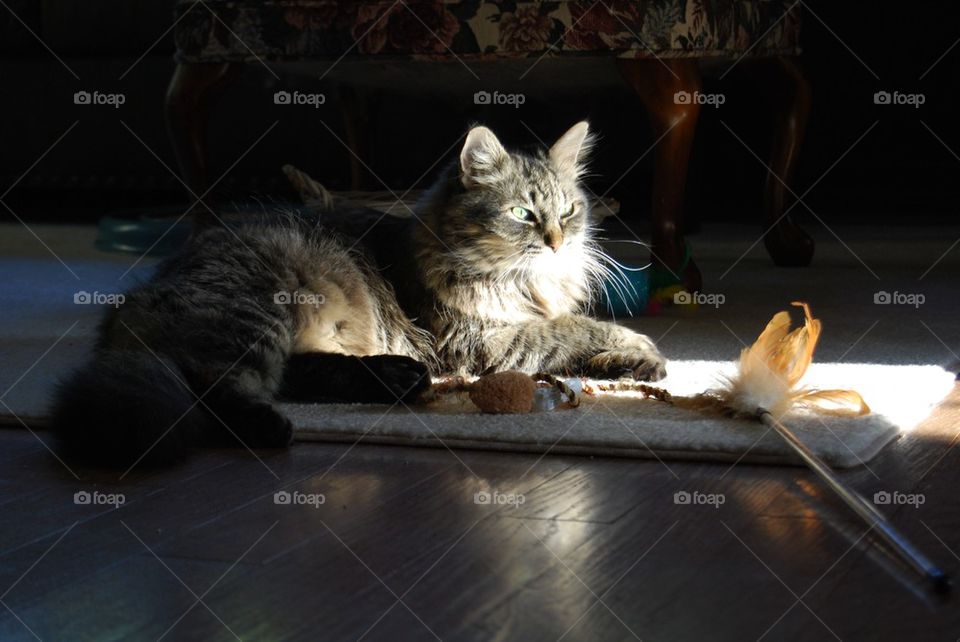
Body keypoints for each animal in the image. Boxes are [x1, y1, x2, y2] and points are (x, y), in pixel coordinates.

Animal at [52, 121, 664, 464]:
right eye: (521, 214)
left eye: (569, 210)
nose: (558, 242)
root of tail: (132, 307)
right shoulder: (481, 339)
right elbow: (570, 329)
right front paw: (646, 352)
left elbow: (573, 333)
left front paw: (632, 364)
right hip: (258, 312)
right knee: (217, 387)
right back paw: (276, 426)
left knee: (299, 374)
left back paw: (397, 378)